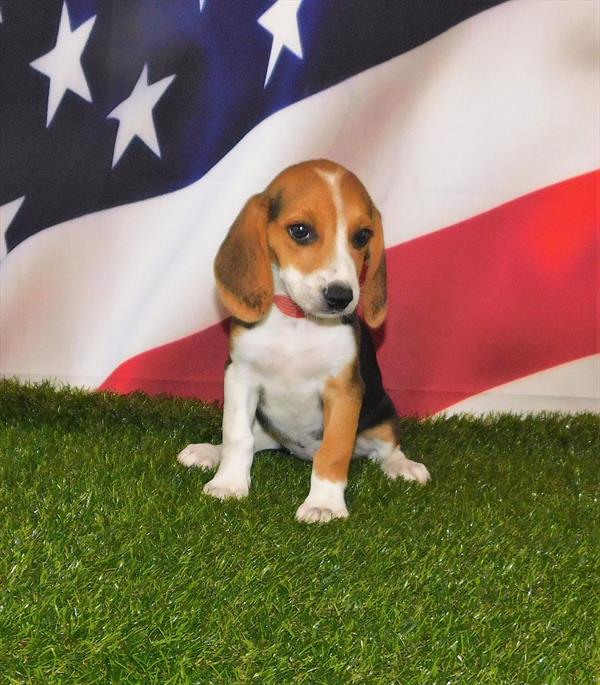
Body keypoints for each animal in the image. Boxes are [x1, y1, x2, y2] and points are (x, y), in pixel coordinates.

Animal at [176, 160, 428, 524]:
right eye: (300, 231)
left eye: (362, 236)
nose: (341, 297)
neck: (297, 321)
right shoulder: (240, 376)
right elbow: (237, 435)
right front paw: (228, 483)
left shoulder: (344, 391)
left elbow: (334, 451)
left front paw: (324, 503)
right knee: (253, 438)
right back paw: (209, 452)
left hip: (381, 414)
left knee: (388, 447)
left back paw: (402, 466)